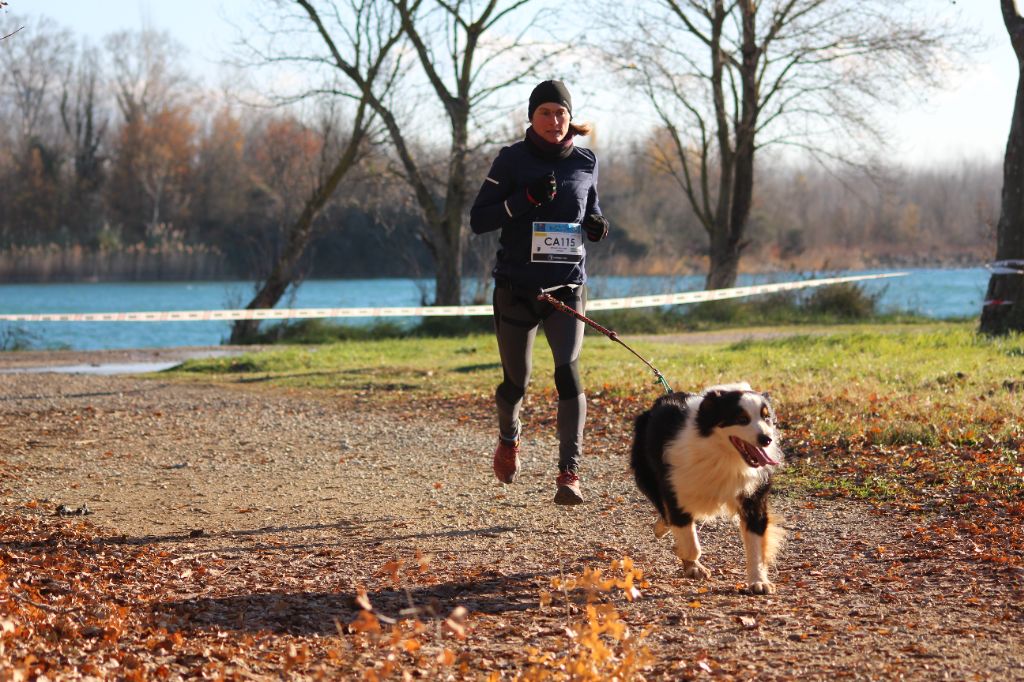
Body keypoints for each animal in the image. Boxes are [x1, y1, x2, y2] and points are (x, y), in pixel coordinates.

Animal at [630, 378, 782, 593]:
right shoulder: (675, 488)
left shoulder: (753, 496)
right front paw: (690, 562)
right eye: (742, 419)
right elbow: (691, 544)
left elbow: (756, 543)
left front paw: (758, 581)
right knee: (663, 508)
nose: (766, 439)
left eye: (766, 417)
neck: (722, 454)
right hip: (647, 472)